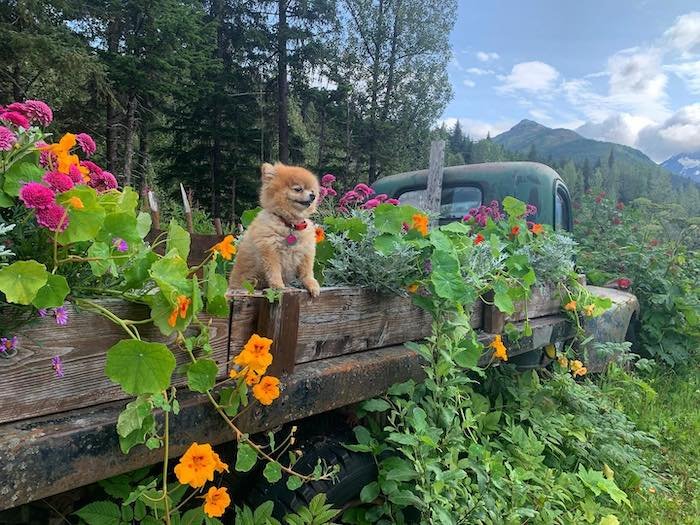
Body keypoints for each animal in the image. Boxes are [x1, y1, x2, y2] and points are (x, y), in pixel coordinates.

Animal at [228, 162, 322, 296]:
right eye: (298, 189)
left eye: (312, 190)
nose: (313, 196)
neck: (290, 225)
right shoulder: (270, 251)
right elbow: (274, 272)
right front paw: (278, 287)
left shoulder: (305, 252)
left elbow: (307, 272)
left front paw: (312, 285)